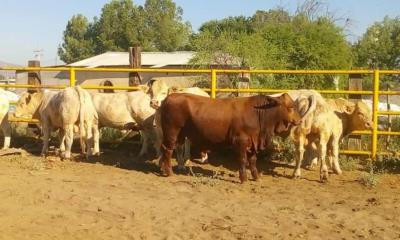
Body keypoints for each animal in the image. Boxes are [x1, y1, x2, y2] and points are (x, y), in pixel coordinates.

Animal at [158, 93, 302, 183]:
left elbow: (253, 161)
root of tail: (169, 98)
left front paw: (256, 177)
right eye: (290, 107)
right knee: (167, 150)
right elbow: (243, 160)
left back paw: (162, 168)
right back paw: (169, 172)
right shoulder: (241, 141)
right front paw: (243, 179)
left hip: (178, 134)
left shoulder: (253, 142)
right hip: (172, 132)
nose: (300, 120)